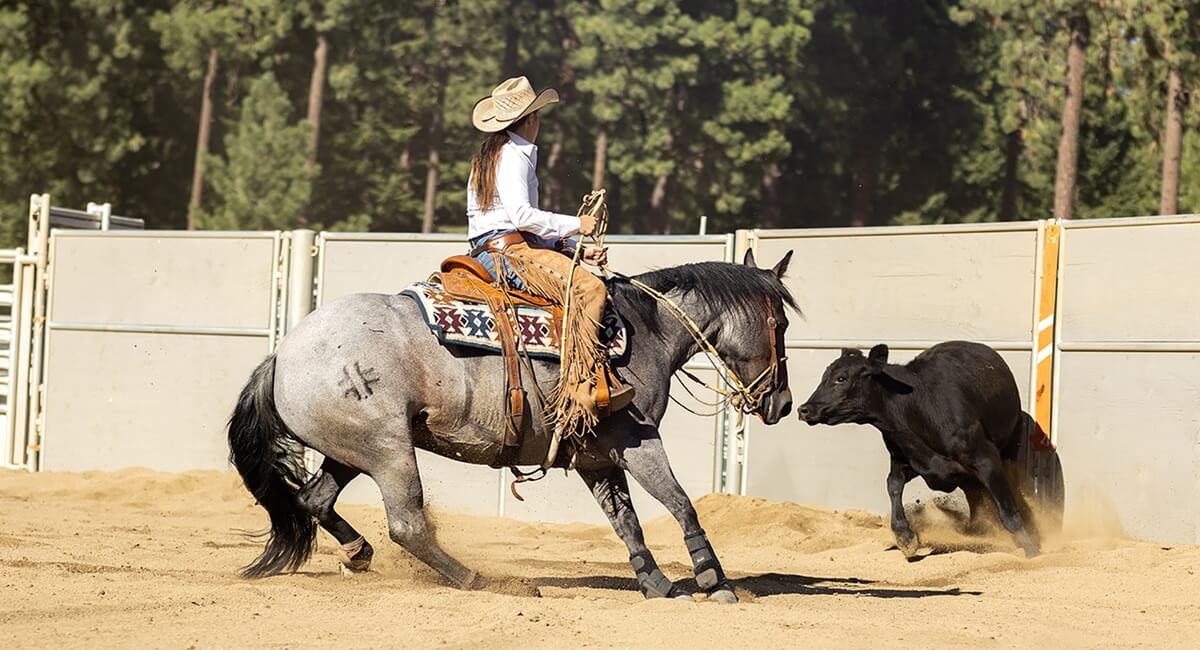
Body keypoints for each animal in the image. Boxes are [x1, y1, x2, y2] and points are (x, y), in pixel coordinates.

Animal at [226, 248, 797, 602]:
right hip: (388, 451)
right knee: (407, 524)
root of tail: (283, 354)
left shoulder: (594, 455)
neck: (641, 331)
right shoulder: (638, 441)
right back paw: (483, 580)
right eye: (781, 323)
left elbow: (626, 521)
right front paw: (714, 582)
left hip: (350, 451)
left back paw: (359, 553)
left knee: (315, 499)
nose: (785, 402)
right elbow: (680, 504)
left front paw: (656, 582)